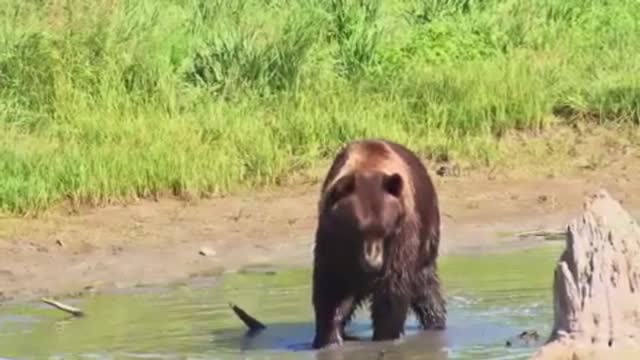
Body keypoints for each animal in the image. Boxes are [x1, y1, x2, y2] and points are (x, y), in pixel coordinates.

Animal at [310, 138, 444, 348]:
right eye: (357, 230)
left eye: (385, 231)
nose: (373, 264)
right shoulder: (332, 238)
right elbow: (331, 287)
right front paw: (329, 338)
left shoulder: (401, 234)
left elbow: (393, 286)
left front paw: (386, 336)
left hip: (426, 237)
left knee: (426, 288)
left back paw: (435, 322)